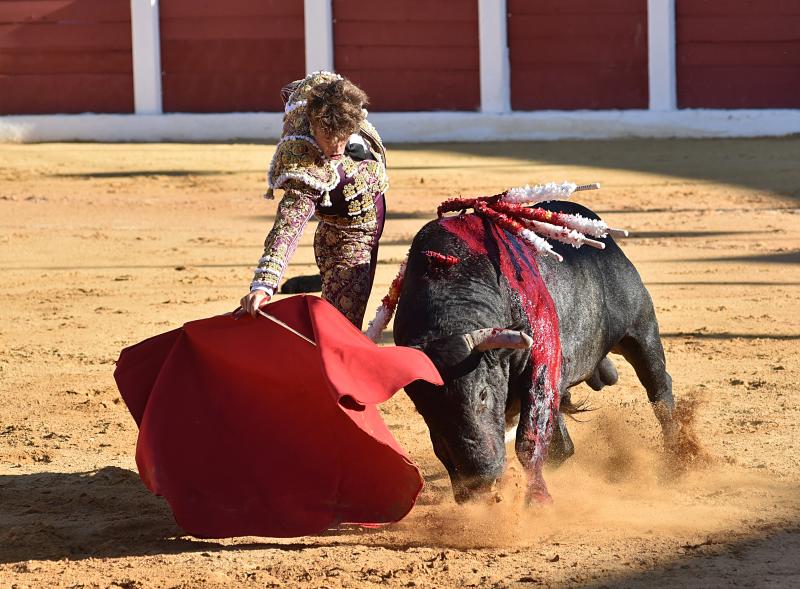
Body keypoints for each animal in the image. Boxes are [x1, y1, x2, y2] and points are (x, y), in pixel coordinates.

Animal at [394, 201, 676, 500]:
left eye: (483, 394)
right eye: (424, 409)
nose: (481, 477)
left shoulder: (540, 362)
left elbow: (530, 437)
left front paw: (538, 499)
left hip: (641, 328)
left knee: (659, 388)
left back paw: (676, 459)